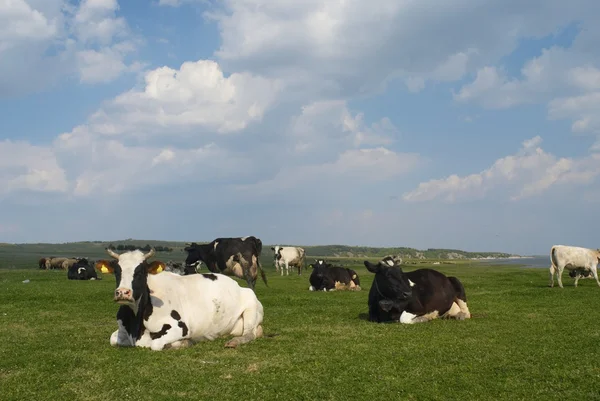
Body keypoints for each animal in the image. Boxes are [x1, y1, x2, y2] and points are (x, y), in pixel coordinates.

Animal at [95, 245, 262, 352]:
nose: (123, 292)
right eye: (117, 271)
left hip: (251, 308)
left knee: (250, 334)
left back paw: (233, 342)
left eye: (141, 271)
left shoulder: (179, 327)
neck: (136, 326)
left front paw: (184, 343)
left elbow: (156, 344)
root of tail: (238, 285)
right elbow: (112, 339)